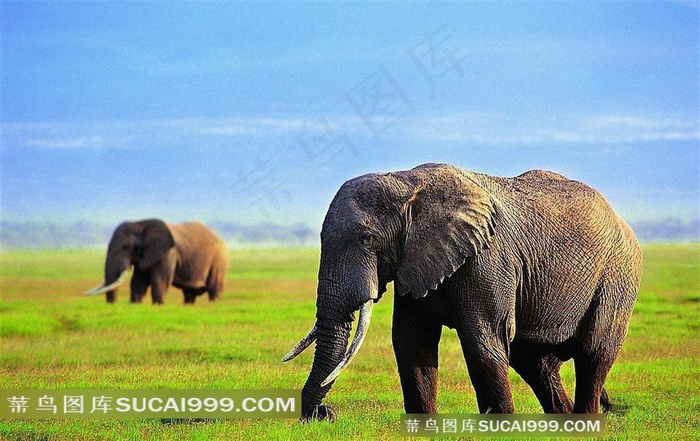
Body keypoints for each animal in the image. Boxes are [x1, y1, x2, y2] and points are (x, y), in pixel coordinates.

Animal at [83, 219, 228, 304]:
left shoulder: (168, 253)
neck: (141, 224)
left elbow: (160, 281)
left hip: (219, 261)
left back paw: (213, 303)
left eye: (125, 247)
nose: (112, 303)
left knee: (213, 289)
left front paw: (158, 305)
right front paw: (135, 303)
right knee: (189, 293)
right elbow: (138, 282)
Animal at [284, 162, 640, 420]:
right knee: (535, 362)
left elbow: (481, 341)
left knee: (594, 353)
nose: (325, 413)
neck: (406, 182)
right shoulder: (415, 261)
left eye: (367, 239)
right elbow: (411, 342)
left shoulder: (488, 259)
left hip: (617, 276)